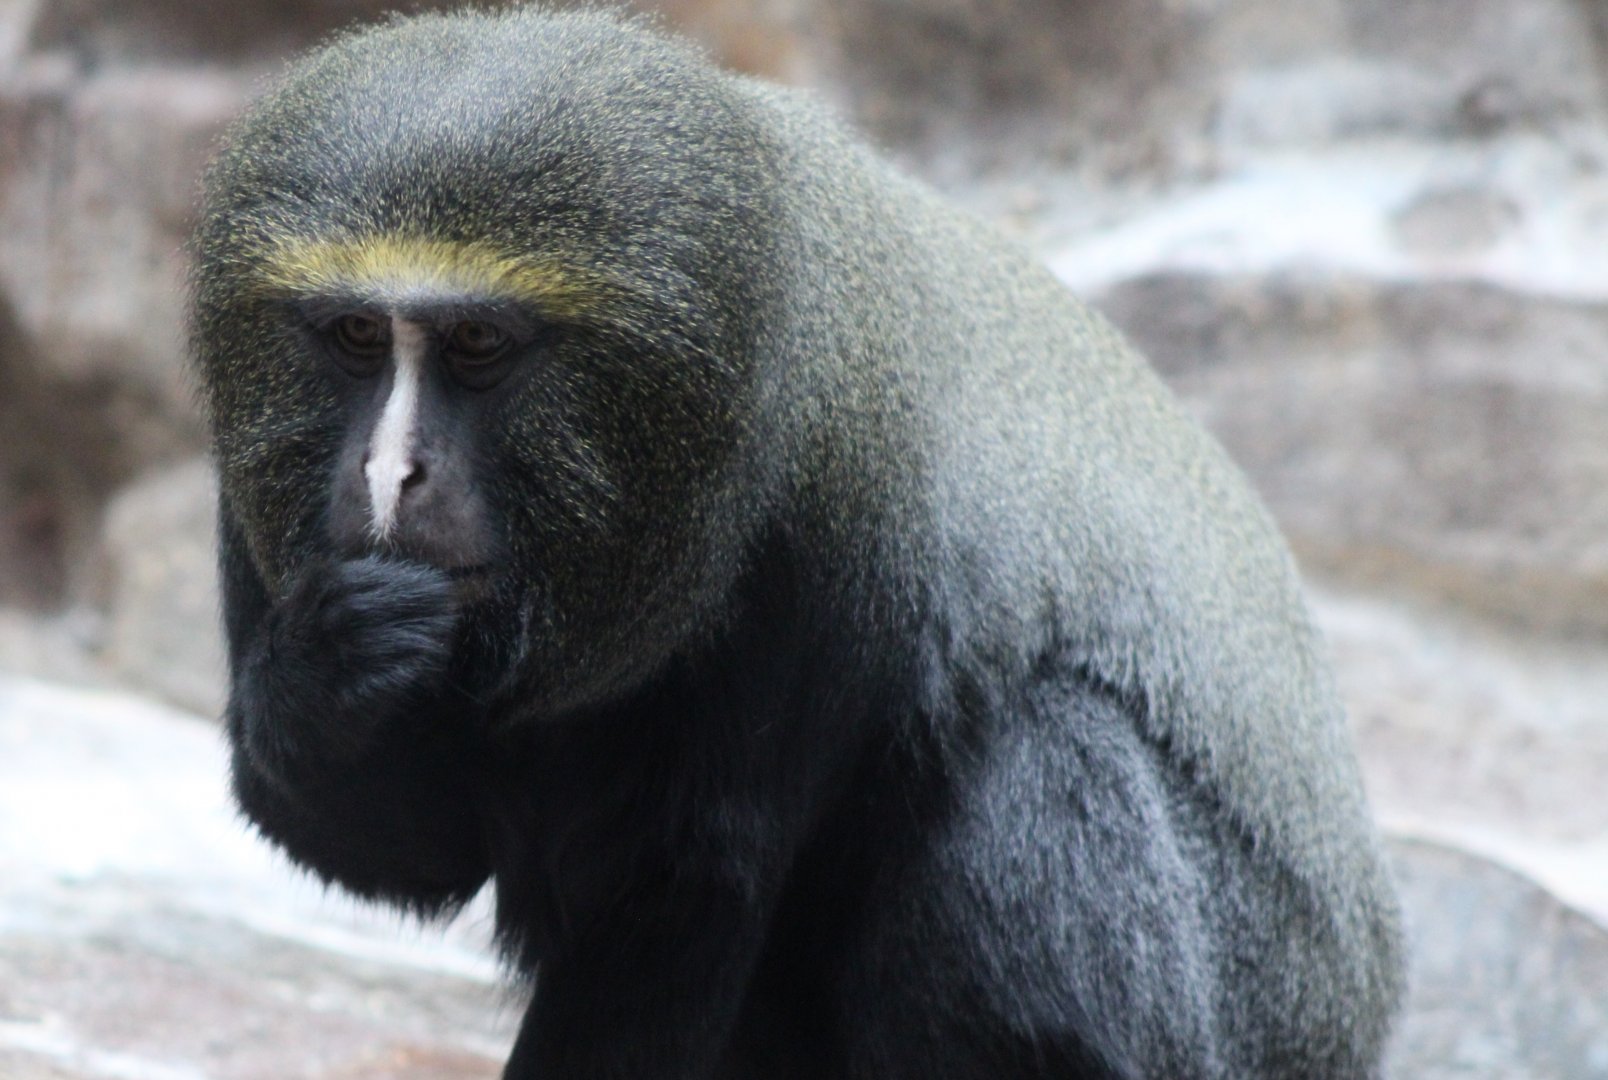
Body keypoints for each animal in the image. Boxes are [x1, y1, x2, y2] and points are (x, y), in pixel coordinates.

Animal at [189, 9, 1405, 1079]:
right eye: (357, 335)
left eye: (478, 344)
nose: (389, 473)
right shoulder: (258, 509)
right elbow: (403, 850)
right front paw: (335, 659)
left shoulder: (826, 525)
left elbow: (687, 898)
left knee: (1046, 743)